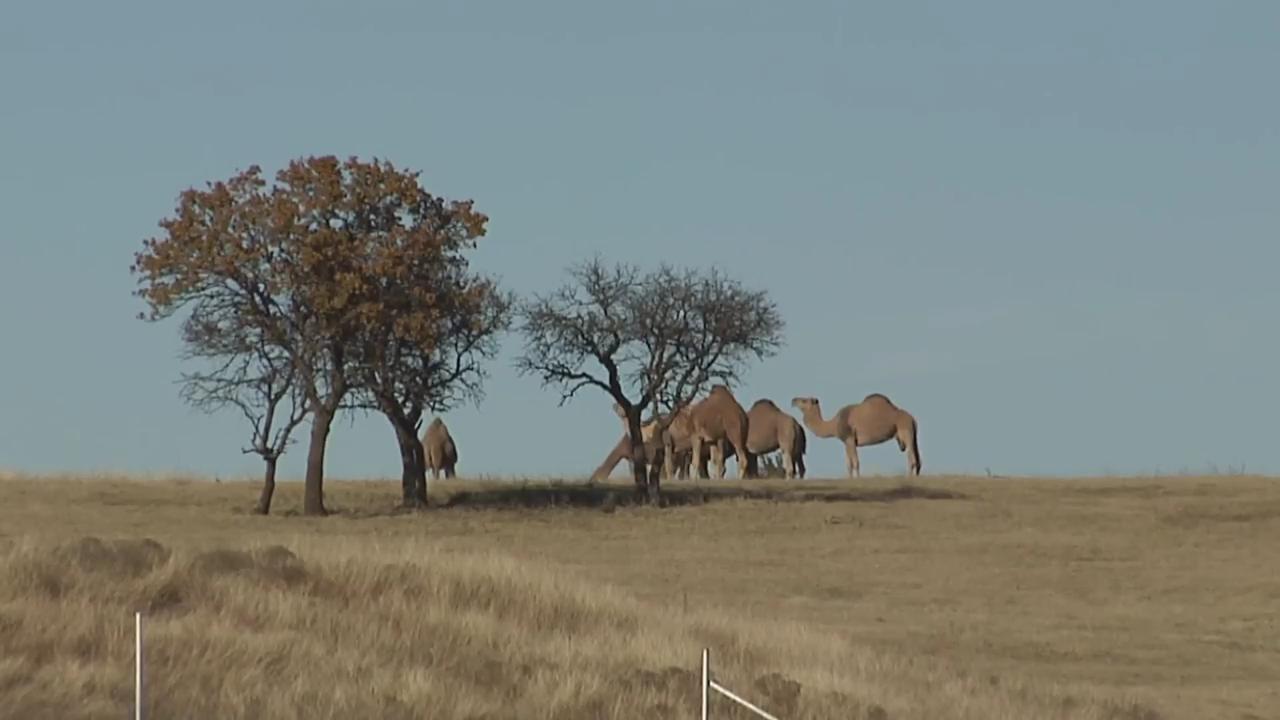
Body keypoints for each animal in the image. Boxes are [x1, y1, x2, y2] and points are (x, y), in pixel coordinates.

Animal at [790, 394, 920, 477]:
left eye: (804, 400)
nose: (793, 400)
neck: (834, 424)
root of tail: (912, 418)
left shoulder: (850, 438)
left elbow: (856, 462)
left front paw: (857, 479)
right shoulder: (847, 442)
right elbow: (849, 464)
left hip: (905, 431)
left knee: (911, 457)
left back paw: (909, 477)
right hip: (912, 434)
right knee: (917, 458)